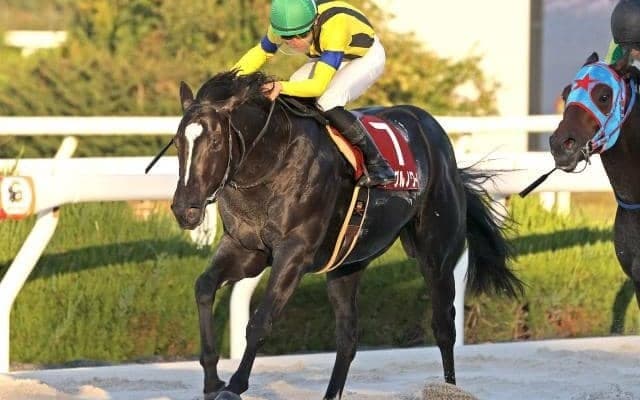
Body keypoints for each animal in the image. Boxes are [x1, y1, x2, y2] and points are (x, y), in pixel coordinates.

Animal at [167, 70, 522, 399]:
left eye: (214, 142)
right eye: (179, 142)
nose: (184, 209)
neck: (273, 158)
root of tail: (436, 136)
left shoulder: (295, 252)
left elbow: (260, 319)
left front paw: (233, 385)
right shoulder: (246, 248)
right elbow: (204, 287)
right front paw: (212, 380)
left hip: (436, 254)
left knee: (443, 326)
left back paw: (448, 386)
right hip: (347, 263)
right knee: (348, 336)